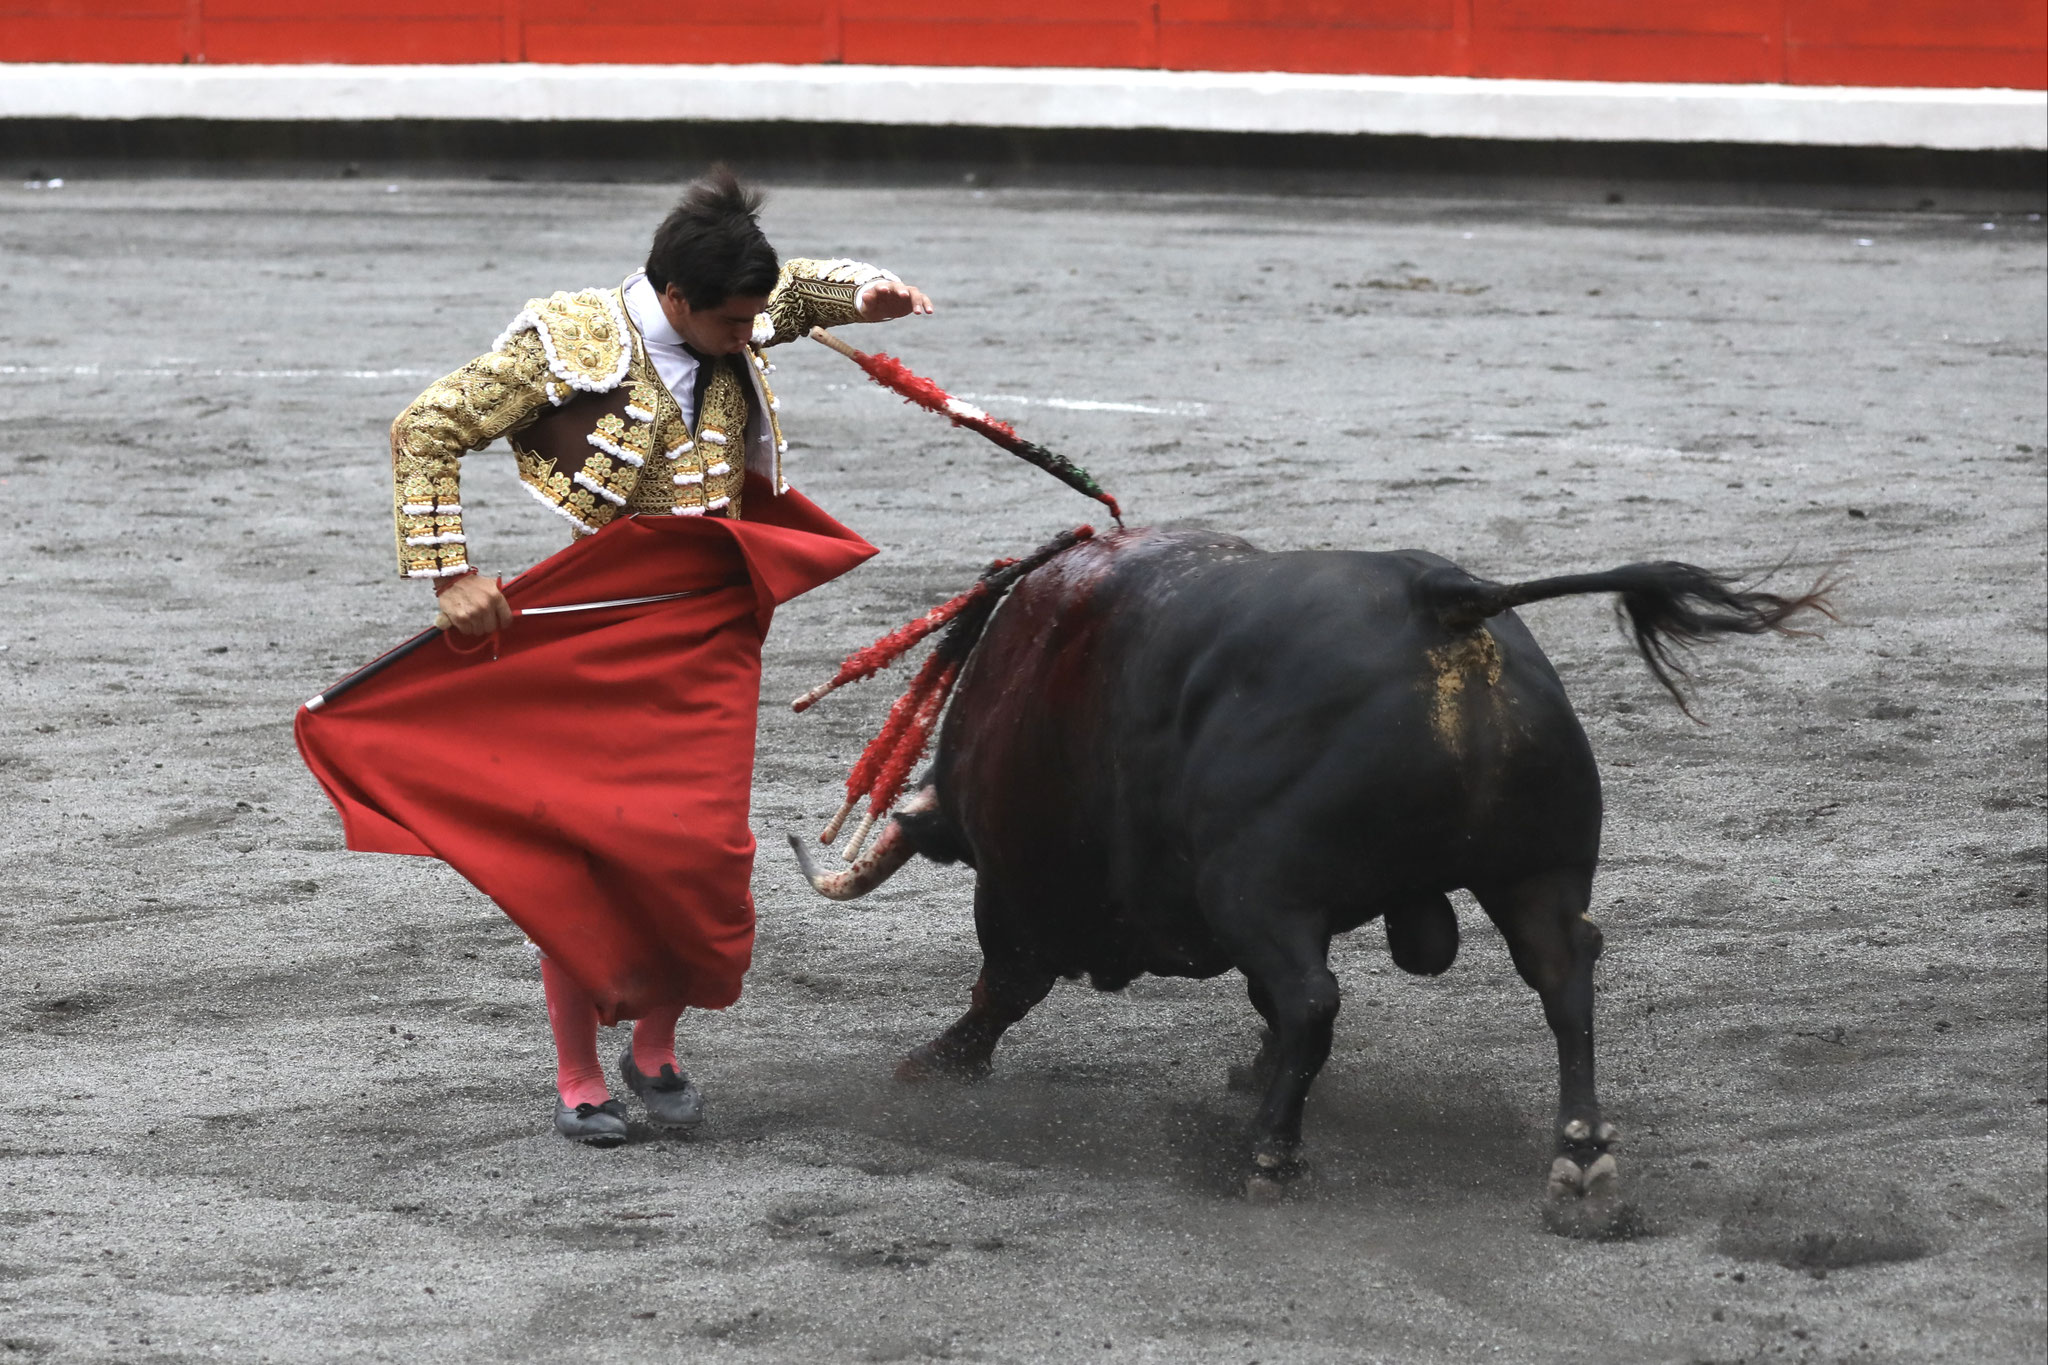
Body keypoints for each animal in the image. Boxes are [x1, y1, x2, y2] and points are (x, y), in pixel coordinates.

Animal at [788, 528, 1831, 1210]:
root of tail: (1446, 597)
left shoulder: (1020, 877)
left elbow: (1004, 982)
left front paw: (939, 1061)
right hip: (1536, 872)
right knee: (1564, 978)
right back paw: (1578, 1152)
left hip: (1259, 889)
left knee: (1311, 996)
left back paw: (1269, 1156)